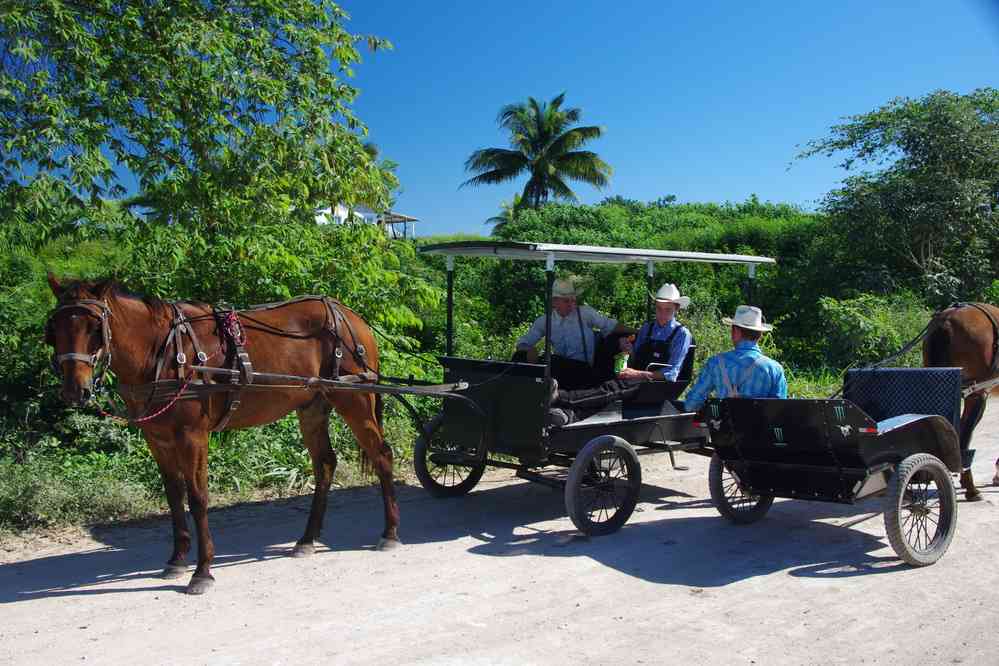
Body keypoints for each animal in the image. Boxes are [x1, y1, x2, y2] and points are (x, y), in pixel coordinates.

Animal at [45, 274, 400, 592]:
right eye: (55, 329)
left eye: (95, 328)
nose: (75, 390)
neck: (161, 351)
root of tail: (351, 316)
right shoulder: (158, 439)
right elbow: (174, 496)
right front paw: (177, 559)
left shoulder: (192, 435)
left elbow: (198, 497)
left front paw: (202, 571)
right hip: (313, 406)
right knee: (325, 463)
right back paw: (308, 539)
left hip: (353, 398)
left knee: (382, 454)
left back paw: (390, 533)